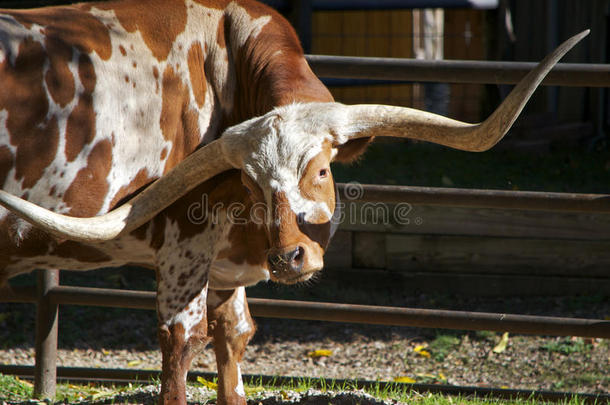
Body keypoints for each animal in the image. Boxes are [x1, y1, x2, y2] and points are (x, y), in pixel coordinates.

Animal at [0, 1, 584, 402]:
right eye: (251, 185)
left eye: (322, 169)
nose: (288, 258)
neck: (224, 54)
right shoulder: (184, 245)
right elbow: (182, 341)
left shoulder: (224, 269)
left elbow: (234, 341)